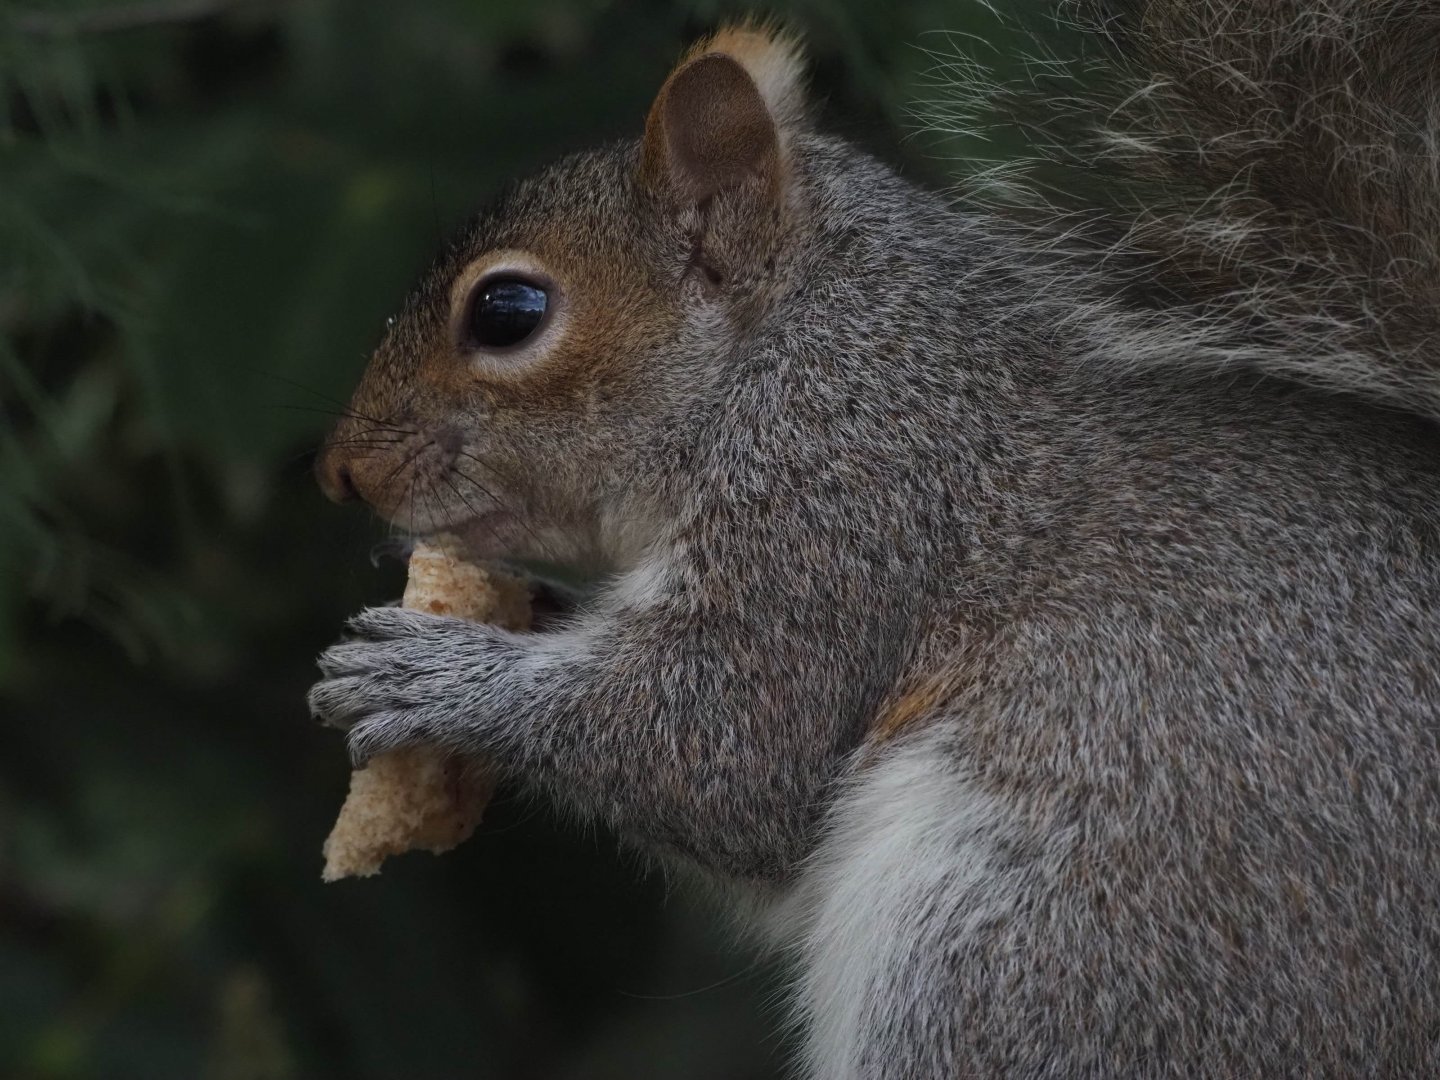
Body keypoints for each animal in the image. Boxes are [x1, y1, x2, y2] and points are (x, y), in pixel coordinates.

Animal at [308, 2, 1440, 1076]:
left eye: (509, 310)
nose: (339, 474)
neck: (801, 346)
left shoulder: (847, 506)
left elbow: (721, 750)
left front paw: (436, 675)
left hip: (1053, 950)